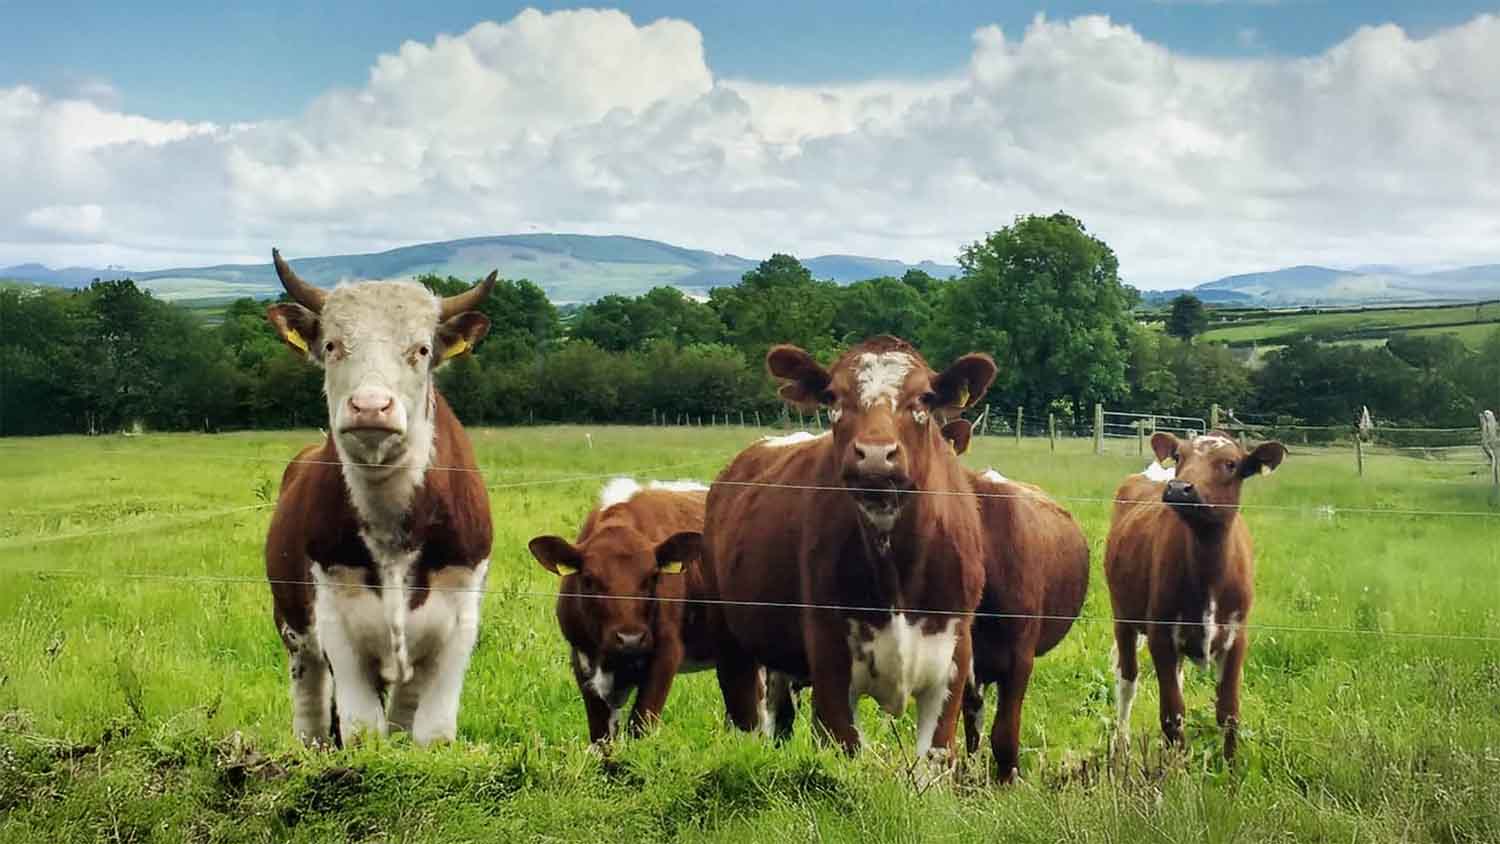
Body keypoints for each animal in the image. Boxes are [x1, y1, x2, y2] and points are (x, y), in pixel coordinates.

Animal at [263, 249, 496, 747]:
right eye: (332, 345)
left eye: (422, 350)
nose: (371, 406)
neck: (394, 529)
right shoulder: (336, 621)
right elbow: (362, 728)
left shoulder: (459, 621)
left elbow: (432, 732)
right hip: (293, 629)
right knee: (310, 706)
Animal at [528, 478, 716, 744]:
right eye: (589, 580)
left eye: (653, 577)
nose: (630, 639)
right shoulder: (583, 659)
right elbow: (601, 736)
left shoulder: (666, 653)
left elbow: (640, 725)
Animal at [702, 336, 996, 763]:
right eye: (833, 396)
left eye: (924, 397)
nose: (875, 454)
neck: (895, 570)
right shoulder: (830, 664)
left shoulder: (951, 661)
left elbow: (934, 756)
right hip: (732, 641)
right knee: (753, 718)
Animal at [1104, 430, 1285, 759]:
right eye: (1180, 456)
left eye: (1230, 463)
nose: (1179, 488)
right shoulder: (1161, 634)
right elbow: (1172, 714)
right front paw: (1174, 769)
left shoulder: (1236, 635)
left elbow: (1229, 712)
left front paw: (1228, 766)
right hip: (1122, 615)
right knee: (1127, 680)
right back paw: (1121, 747)